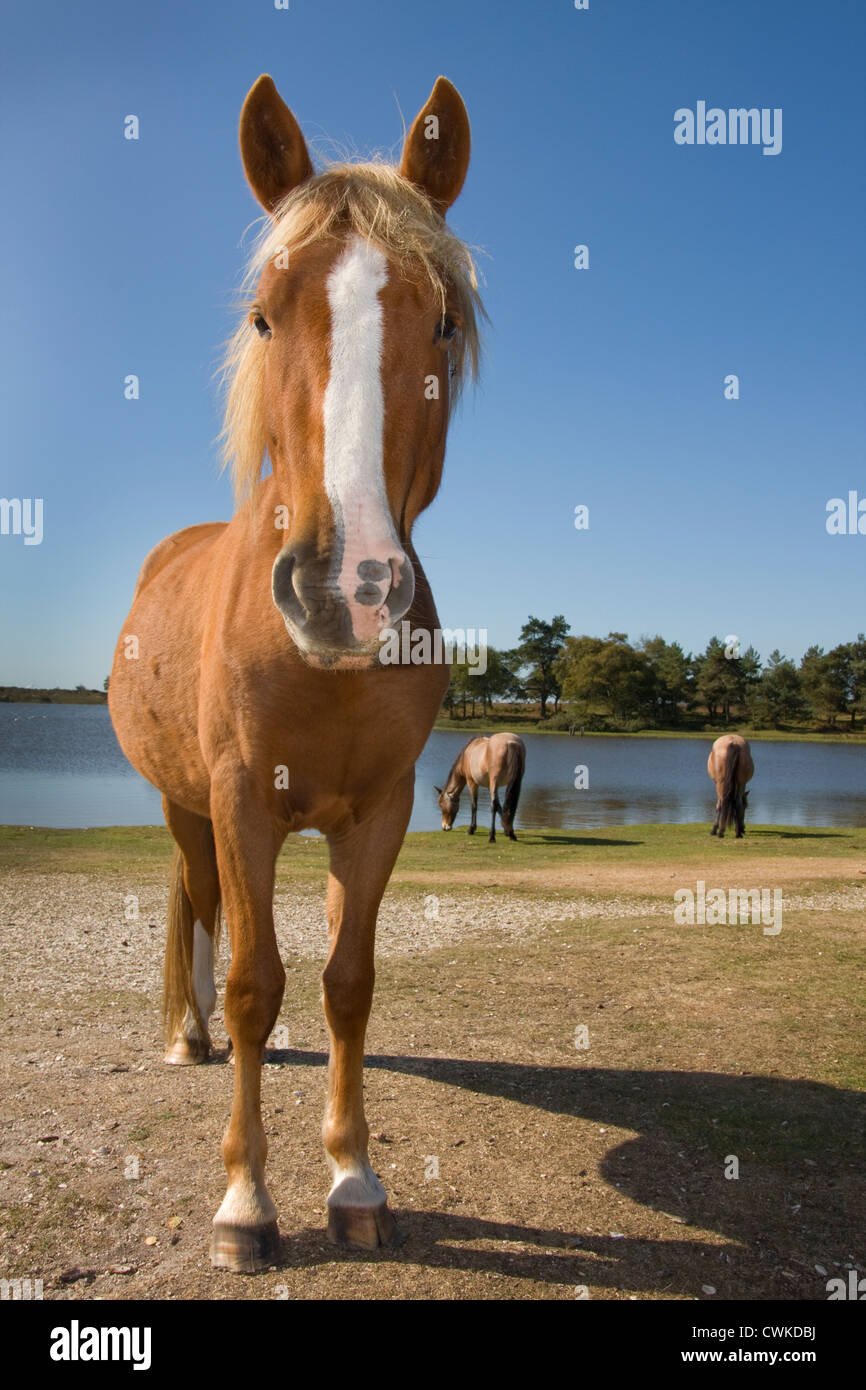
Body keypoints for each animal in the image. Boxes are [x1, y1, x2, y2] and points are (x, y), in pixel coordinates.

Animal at [107, 73, 483, 1273]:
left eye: (442, 320)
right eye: (265, 313)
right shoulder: (239, 801)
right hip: (184, 804)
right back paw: (186, 1038)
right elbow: (252, 982)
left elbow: (345, 986)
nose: (343, 586)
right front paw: (244, 1202)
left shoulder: (380, 811)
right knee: (196, 908)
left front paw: (352, 1179)